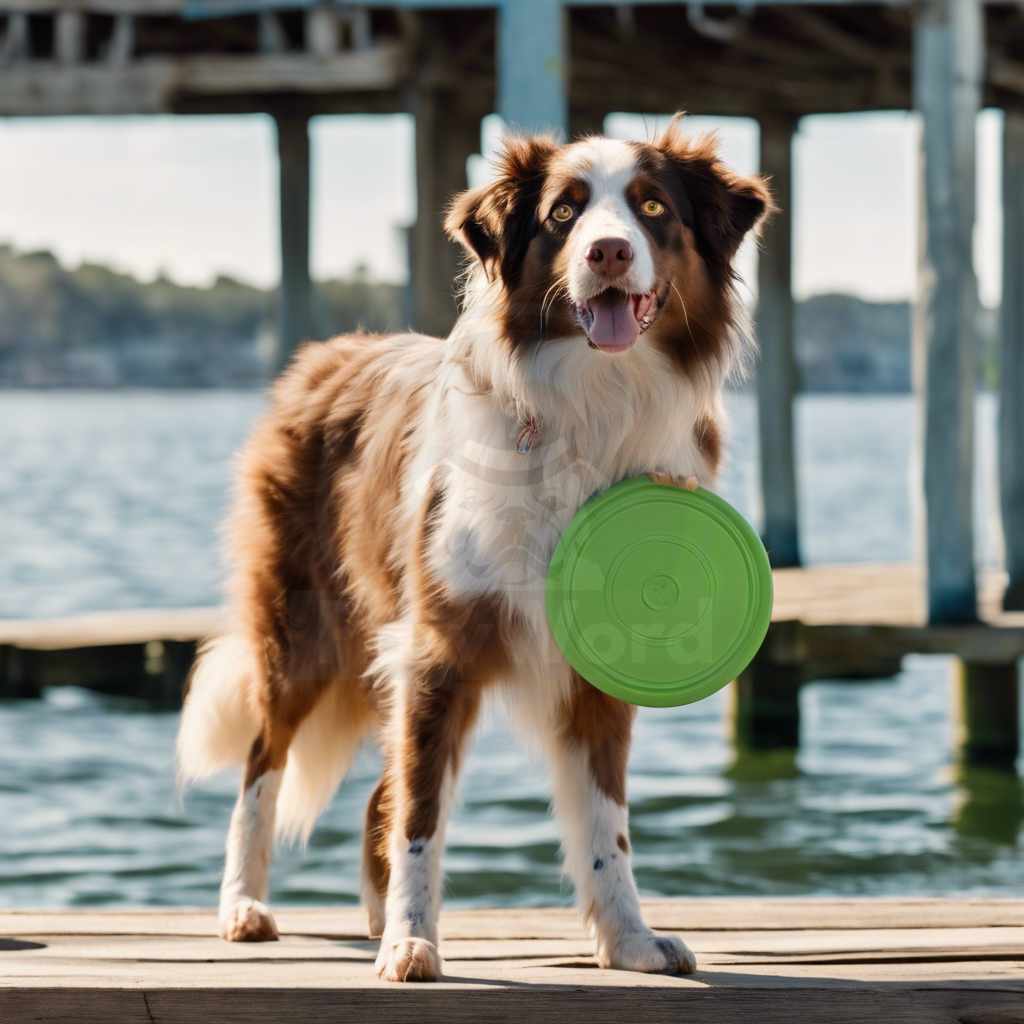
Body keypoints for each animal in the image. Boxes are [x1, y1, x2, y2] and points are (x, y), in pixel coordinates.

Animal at [178, 116, 770, 978]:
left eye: (653, 206)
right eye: (565, 213)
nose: (608, 252)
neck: (590, 405)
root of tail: (324, 354)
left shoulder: (599, 666)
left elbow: (606, 825)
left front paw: (628, 939)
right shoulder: (438, 651)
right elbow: (421, 819)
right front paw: (412, 942)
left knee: (378, 791)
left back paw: (370, 916)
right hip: (302, 634)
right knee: (265, 766)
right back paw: (245, 907)